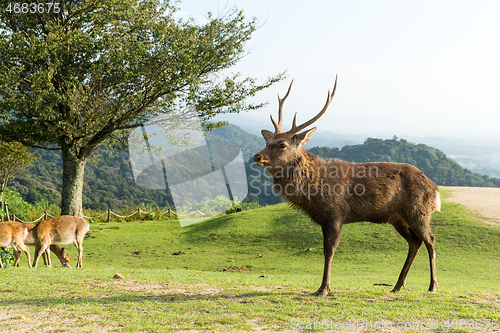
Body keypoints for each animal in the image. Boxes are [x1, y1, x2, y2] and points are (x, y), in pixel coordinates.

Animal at [254, 76, 442, 294]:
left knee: (430, 240)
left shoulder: (336, 212)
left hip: (418, 212)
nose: (257, 156)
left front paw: (324, 289)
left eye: (282, 144)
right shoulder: (324, 219)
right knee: (415, 242)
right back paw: (397, 286)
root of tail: (435, 190)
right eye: (267, 142)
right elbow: (325, 250)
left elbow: (330, 250)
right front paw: (322, 287)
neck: (314, 190)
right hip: (397, 217)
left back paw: (432, 286)